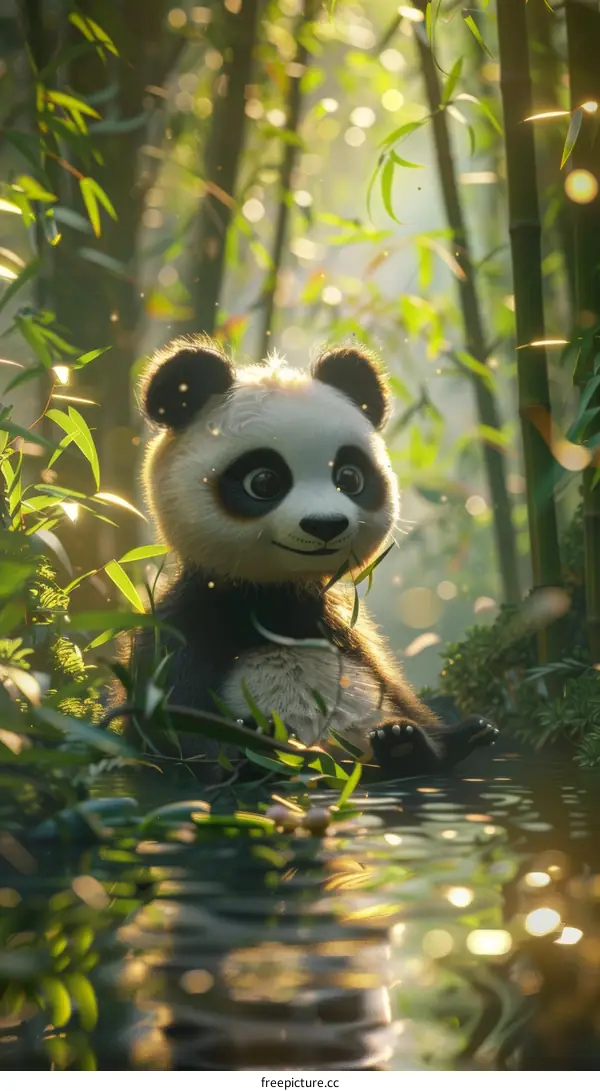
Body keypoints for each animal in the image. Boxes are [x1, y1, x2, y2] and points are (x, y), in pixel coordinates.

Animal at [122, 334, 497, 781]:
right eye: (264, 481)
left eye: (349, 477)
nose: (325, 525)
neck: (272, 598)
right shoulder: (189, 622)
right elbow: (174, 722)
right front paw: (246, 746)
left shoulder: (343, 628)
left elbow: (396, 687)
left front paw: (442, 734)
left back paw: (413, 741)